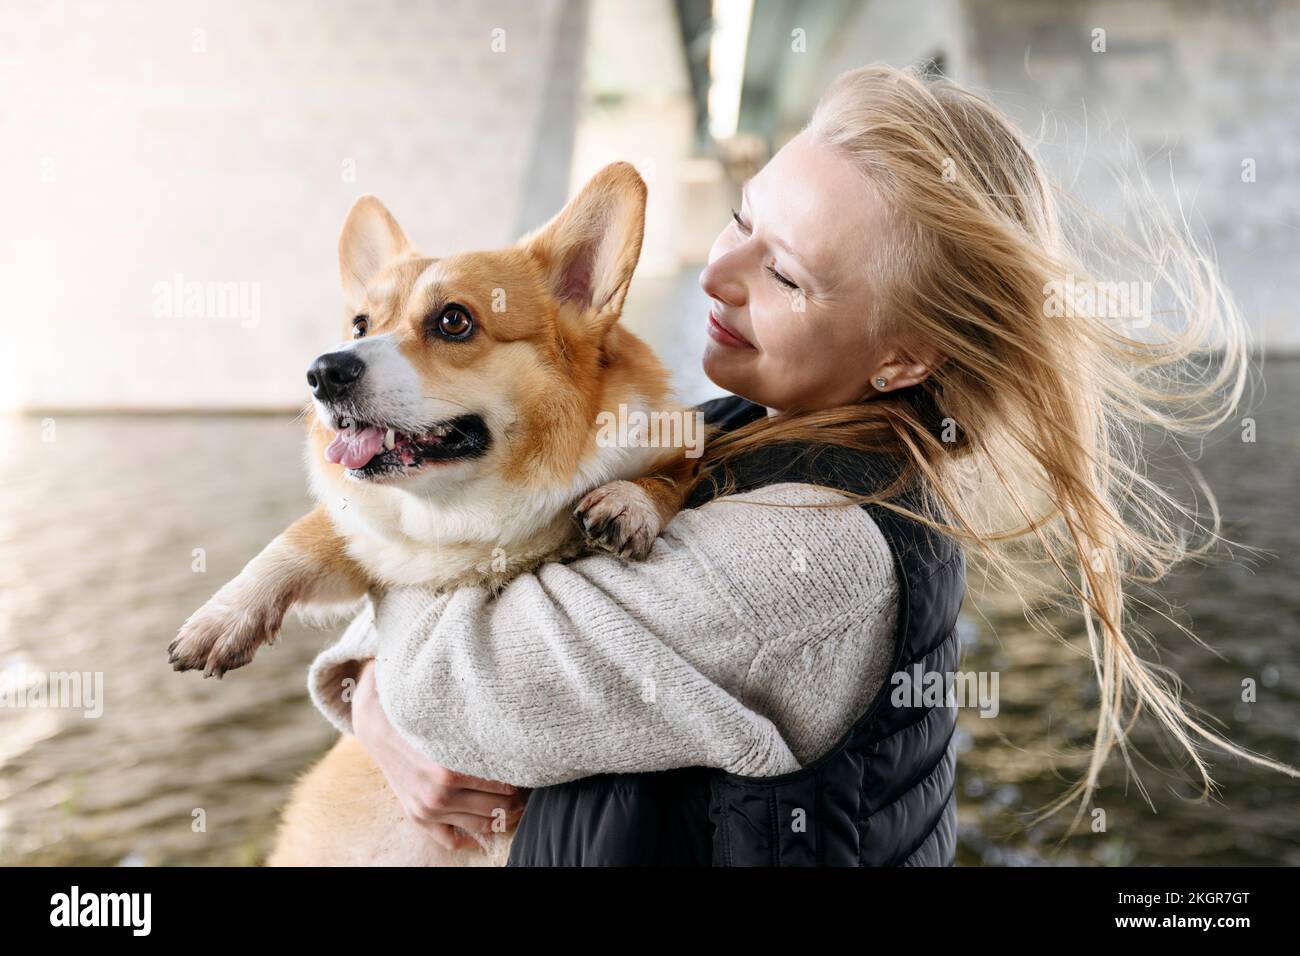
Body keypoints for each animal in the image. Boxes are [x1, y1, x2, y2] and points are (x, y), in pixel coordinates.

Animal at [171, 162, 707, 868]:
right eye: (360, 325)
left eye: (454, 321)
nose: (321, 371)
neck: (471, 520)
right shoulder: (372, 542)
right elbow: (301, 539)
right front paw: (221, 619)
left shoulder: (678, 448)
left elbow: (665, 478)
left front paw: (629, 504)